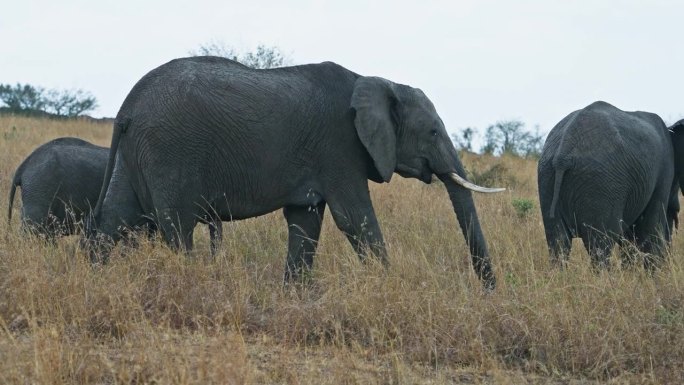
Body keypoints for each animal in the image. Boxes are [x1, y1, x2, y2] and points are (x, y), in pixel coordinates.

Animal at [91, 57, 504, 288]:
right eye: (432, 132)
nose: (489, 290)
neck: (379, 81)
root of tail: (128, 105)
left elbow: (306, 223)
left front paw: (295, 295)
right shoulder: (339, 149)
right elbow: (354, 218)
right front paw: (391, 287)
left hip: (136, 152)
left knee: (115, 217)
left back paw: (94, 279)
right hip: (170, 148)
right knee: (176, 226)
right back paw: (187, 281)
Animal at [536, 100, 680, 268]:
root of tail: (563, 155)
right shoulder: (663, 172)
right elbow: (652, 228)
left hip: (547, 175)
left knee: (558, 242)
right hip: (601, 184)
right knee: (600, 246)